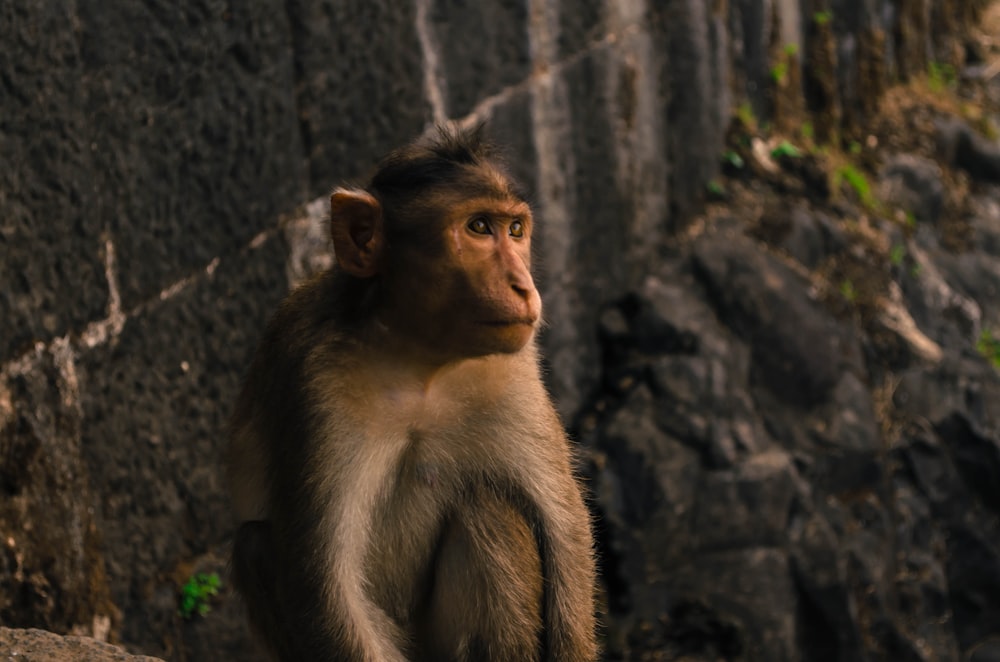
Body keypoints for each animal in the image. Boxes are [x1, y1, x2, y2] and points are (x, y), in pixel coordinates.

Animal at [226, 126, 596, 662]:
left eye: (515, 230)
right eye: (479, 227)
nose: (524, 286)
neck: (421, 361)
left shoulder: (512, 369)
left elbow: (563, 527)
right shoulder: (314, 382)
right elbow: (326, 585)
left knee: (487, 506)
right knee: (255, 542)